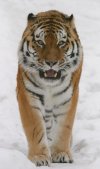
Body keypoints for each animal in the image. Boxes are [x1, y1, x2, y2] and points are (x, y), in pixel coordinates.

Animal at [16, 10, 83, 166]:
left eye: (61, 43)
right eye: (40, 42)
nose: (51, 63)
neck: (49, 86)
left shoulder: (67, 99)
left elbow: (64, 128)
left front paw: (61, 153)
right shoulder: (28, 96)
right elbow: (35, 127)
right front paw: (39, 157)